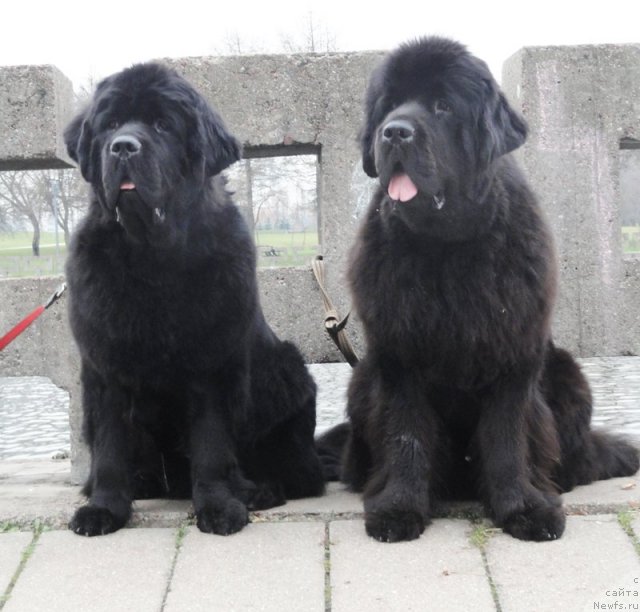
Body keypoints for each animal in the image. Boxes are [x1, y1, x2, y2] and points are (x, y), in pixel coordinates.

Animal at [63, 63, 324, 536]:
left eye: (163, 125)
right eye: (110, 124)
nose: (122, 147)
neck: (153, 256)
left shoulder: (211, 365)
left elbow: (211, 443)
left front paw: (218, 507)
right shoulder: (105, 365)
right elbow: (109, 446)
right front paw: (104, 508)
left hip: (289, 371)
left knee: (299, 474)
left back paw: (260, 489)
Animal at [318, 38, 636, 544]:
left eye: (443, 106)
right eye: (389, 105)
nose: (393, 133)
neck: (447, 246)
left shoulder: (513, 355)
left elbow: (506, 437)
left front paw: (524, 508)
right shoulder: (398, 357)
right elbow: (407, 434)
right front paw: (399, 508)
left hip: (568, 375)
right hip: (363, 378)